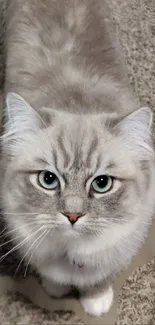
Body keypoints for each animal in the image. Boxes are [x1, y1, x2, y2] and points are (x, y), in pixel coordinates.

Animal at [0, 0, 155, 316]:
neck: (71, 252)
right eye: (48, 179)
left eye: (102, 184)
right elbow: (52, 276)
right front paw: (56, 290)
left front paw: (96, 302)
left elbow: (99, 278)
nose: (72, 216)